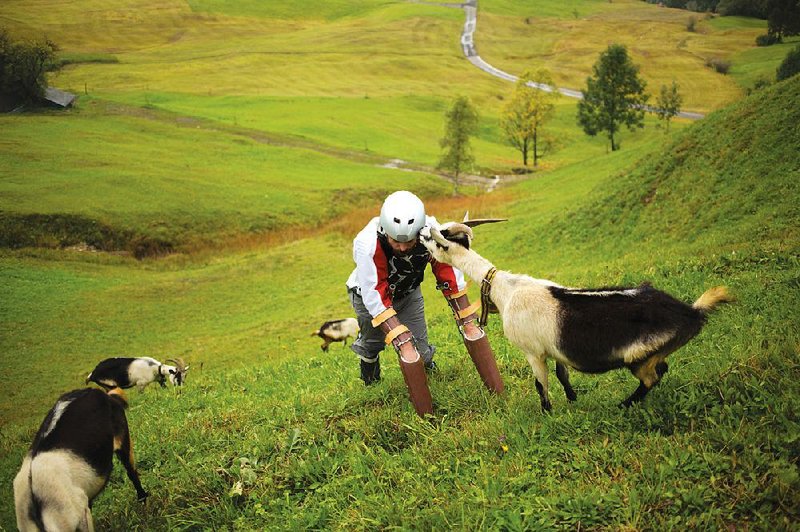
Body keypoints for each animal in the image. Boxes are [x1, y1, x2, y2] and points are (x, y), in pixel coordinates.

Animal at [422, 221, 736, 412]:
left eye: (438, 242)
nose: (423, 235)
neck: (506, 289)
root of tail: (691, 313)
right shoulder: (554, 349)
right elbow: (562, 374)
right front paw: (573, 400)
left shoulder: (532, 351)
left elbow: (541, 384)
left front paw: (547, 413)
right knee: (661, 370)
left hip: (637, 356)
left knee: (653, 376)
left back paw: (624, 405)